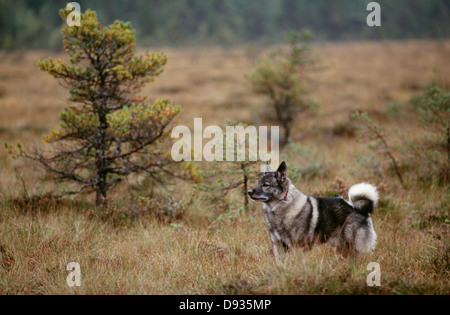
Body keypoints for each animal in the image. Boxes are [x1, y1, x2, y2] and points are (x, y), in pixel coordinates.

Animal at [248, 163, 378, 262]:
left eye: (266, 185)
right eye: (258, 183)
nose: (248, 192)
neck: (282, 205)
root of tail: (359, 209)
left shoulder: (299, 248)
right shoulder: (279, 246)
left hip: (356, 248)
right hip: (343, 248)